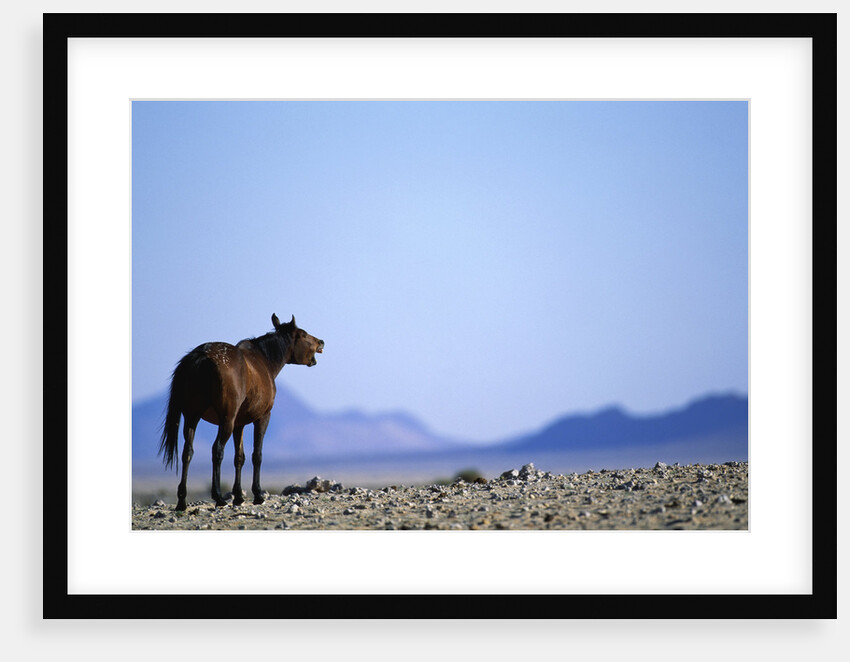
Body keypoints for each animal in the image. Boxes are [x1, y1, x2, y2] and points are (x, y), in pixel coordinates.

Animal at [158, 314, 324, 511]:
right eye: (303, 334)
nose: (321, 342)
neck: (264, 360)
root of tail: (201, 356)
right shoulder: (262, 417)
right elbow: (256, 455)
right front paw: (258, 494)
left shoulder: (240, 423)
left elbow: (239, 457)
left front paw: (238, 496)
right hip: (225, 421)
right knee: (217, 450)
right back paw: (218, 497)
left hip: (192, 417)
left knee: (187, 453)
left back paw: (182, 501)